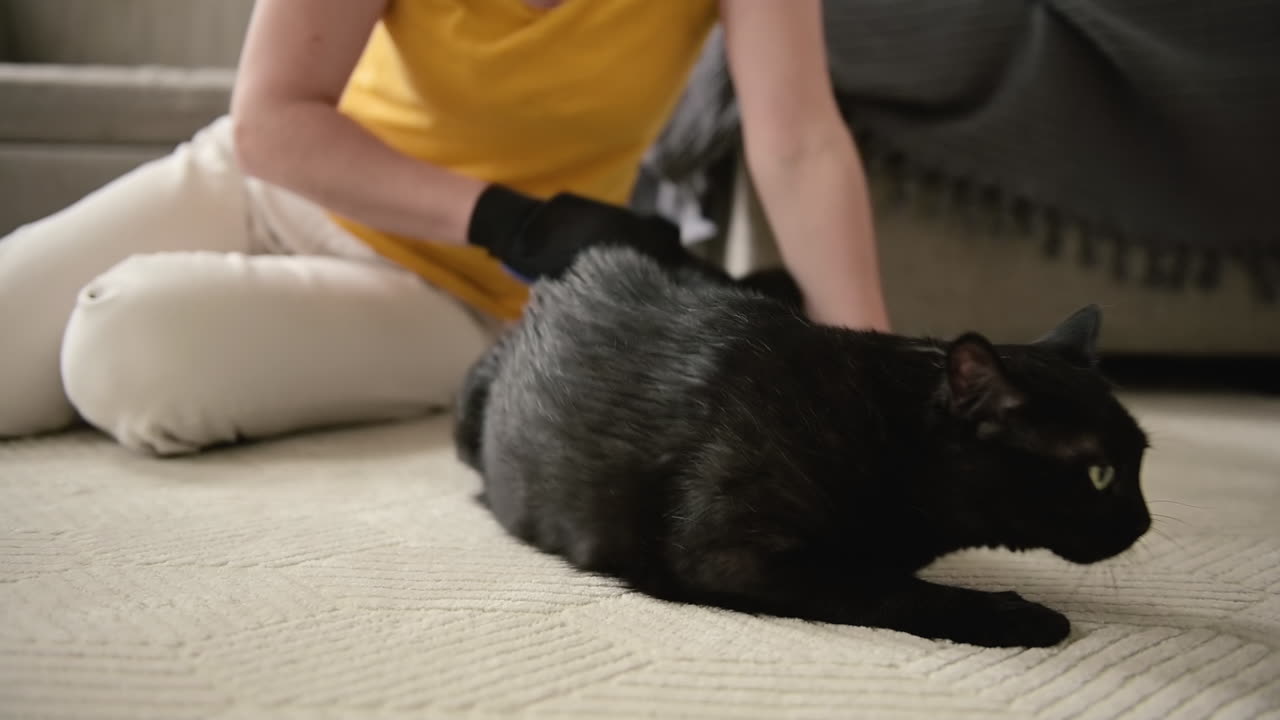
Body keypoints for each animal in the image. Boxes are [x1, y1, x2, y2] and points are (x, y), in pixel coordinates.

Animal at [455, 243, 1157, 648]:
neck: (886, 432)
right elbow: (888, 588)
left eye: (1141, 461)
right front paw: (1017, 616)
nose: (1146, 522)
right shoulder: (729, 555)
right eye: (1100, 473)